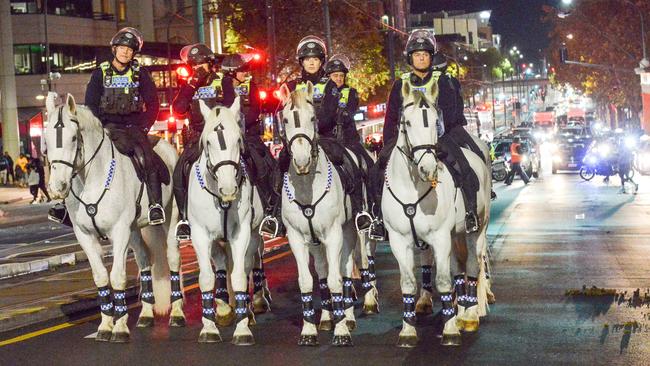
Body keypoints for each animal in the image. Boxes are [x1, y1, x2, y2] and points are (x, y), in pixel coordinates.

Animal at [44, 92, 182, 344]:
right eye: (47, 139)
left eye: (72, 138)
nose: (57, 187)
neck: (92, 178)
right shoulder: (85, 235)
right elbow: (100, 277)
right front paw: (106, 325)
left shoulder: (119, 232)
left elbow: (117, 277)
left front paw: (120, 328)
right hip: (135, 229)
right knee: (144, 260)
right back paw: (146, 315)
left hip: (170, 218)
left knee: (173, 257)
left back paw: (177, 313)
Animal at [184, 98, 262, 344]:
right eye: (208, 142)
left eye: (238, 139)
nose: (228, 190)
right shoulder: (200, 234)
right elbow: (207, 278)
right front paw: (209, 328)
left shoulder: (241, 232)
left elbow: (238, 276)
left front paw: (242, 329)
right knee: (220, 263)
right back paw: (225, 309)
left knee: (244, 264)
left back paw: (245, 311)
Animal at [278, 83, 360, 346]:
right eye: (285, 119)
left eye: (313, 118)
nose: (302, 161)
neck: (306, 186)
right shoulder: (296, 238)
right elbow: (307, 281)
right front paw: (308, 331)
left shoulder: (334, 234)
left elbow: (336, 279)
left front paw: (341, 331)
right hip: (315, 242)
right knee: (323, 271)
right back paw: (325, 318)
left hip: (349, 231)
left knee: (344, 269)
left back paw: (348, 317)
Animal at [382, 83, 464, 348]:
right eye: (406, 122)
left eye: (435, 121)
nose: (428, 169)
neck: (412, 188)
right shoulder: (399, 240)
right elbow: (408, 283)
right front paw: (408, 331)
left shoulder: (441, 237)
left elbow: (444, 280)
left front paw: (451, 329)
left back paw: (470, 313)